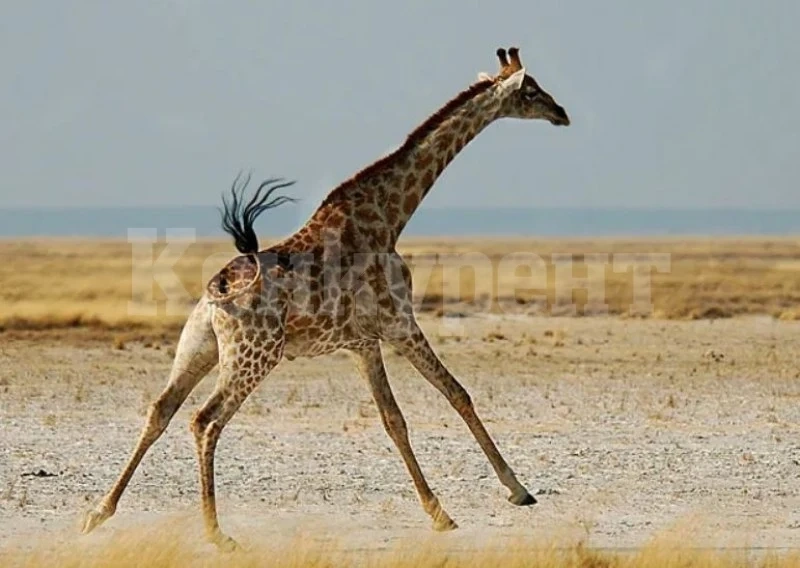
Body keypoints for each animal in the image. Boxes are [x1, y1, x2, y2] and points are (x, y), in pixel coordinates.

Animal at [81, 46, 570, 549]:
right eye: (531, 91)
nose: (562, 113)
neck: (389, 218)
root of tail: (216, 294)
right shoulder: (399, 323)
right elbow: (457, 393)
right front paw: (517, 491)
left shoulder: (362, 342)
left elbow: (393, 419)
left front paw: (440, 513)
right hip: (254, 355)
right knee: (205, 420)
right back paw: (216, 533)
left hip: (200, 346)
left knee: (161, 409)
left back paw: (98, 513)